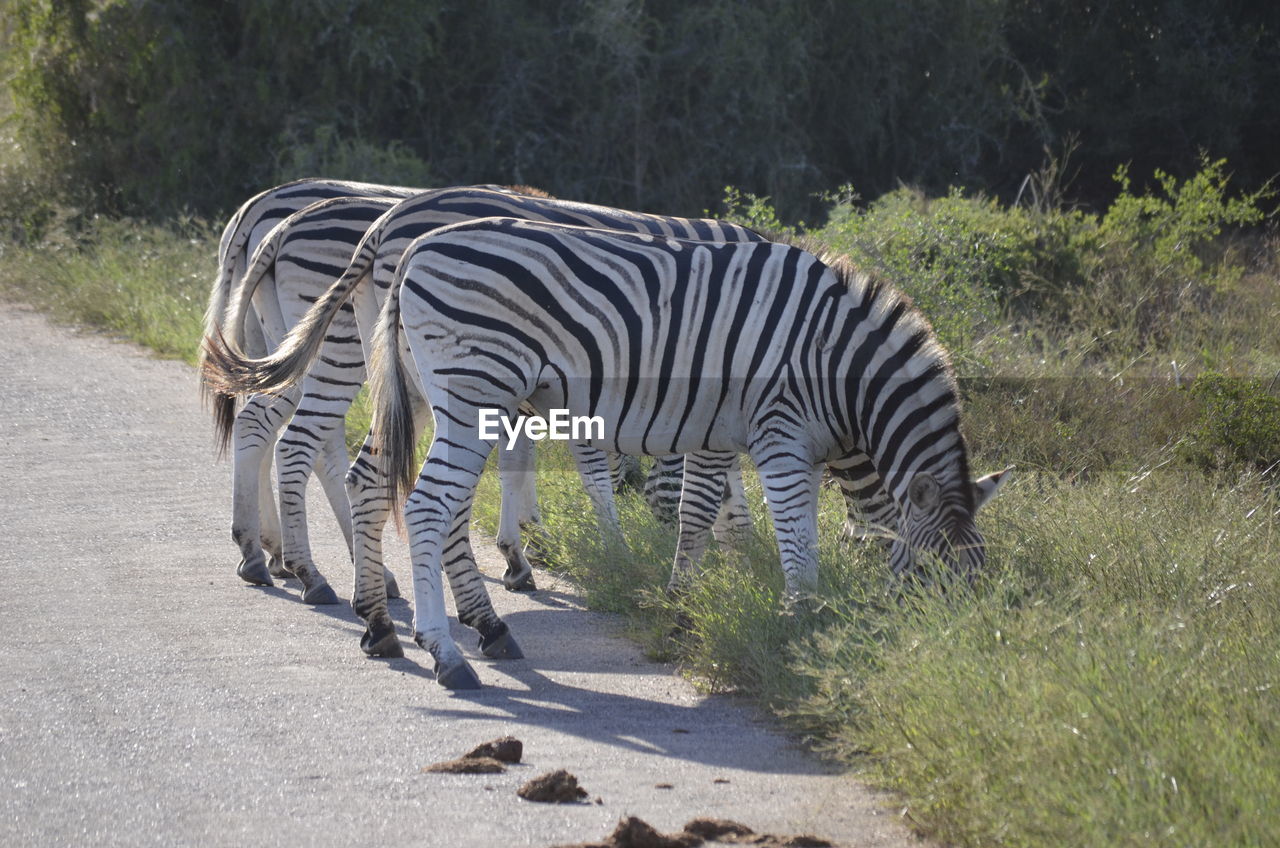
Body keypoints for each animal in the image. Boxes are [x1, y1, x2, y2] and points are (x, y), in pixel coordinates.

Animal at [371, 219, 1008, 691]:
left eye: (978, 579)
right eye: (927, 574)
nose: (942, 662)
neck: (835, 361)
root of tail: (418, 249)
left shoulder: (723, 437)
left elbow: (699, 517)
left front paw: (682, 610)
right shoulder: (780, 437)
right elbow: (795, 541)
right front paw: (801, 628)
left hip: (443, 397)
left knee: (422, 499)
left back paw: (463, 627)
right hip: (475, 388)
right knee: (429, 507)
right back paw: (445, 652)